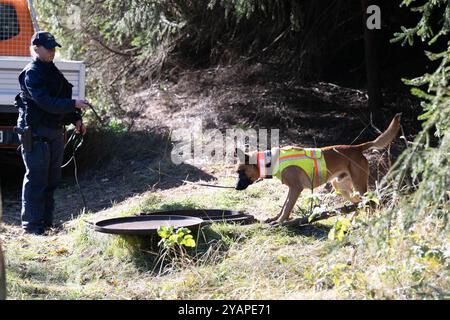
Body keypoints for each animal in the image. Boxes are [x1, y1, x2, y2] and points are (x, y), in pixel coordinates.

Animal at [236, 114, 400, 224]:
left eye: (241, 172)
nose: (236, 188)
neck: (271, 160)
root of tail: (357, 147)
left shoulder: (296, 188)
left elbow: (287, 206)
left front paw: (280, 221)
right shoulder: (292, 189)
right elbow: (284, 206)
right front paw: (276, 218)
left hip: (358, 185)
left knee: (369, 202)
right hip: (341, 186)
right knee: (359, 203)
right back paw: (353, 220)